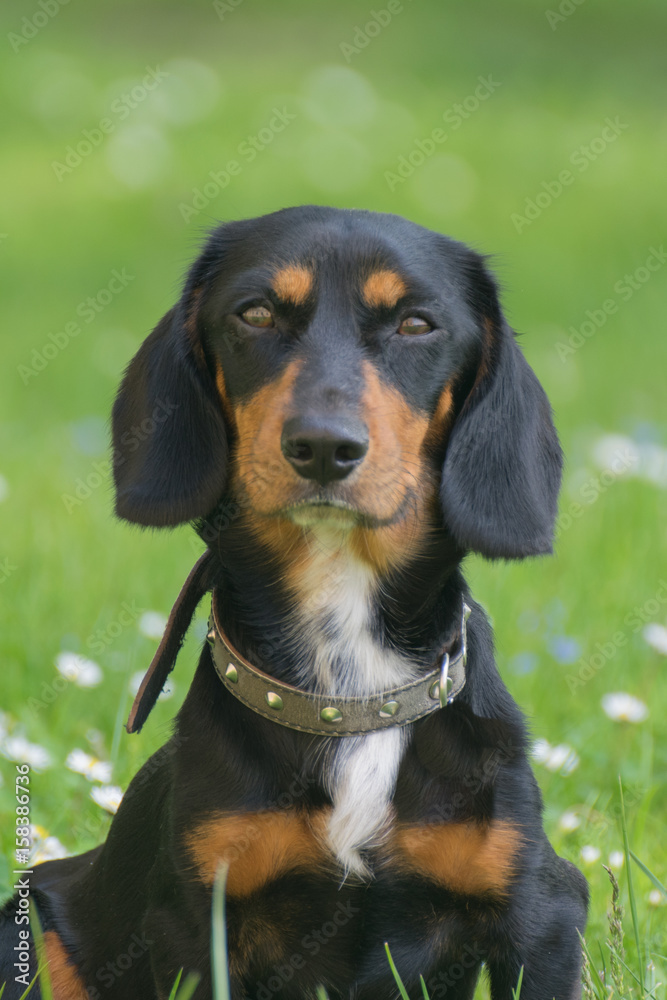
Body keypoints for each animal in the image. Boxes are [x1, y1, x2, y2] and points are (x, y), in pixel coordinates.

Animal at [0, 207, 588, 996]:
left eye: (416, 324)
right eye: (254, 313)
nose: (323, 446)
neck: (347, 692)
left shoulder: (539, 914)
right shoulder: (197, 922)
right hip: (30, 914)